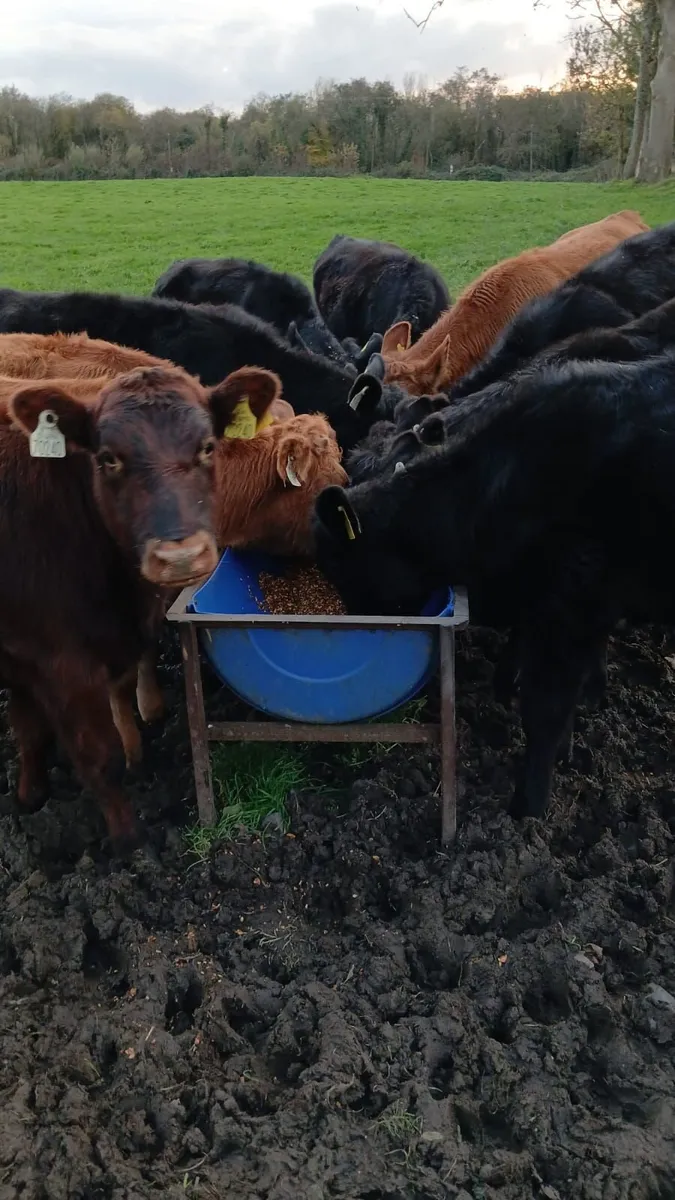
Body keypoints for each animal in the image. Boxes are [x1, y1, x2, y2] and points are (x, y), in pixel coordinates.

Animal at [0, 364, 243, 851]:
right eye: (109, 458)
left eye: (207, 446)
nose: (180, 556)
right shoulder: (58, 660)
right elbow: (98, 754)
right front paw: (129, 839)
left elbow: (31, 726)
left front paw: (31, 793)